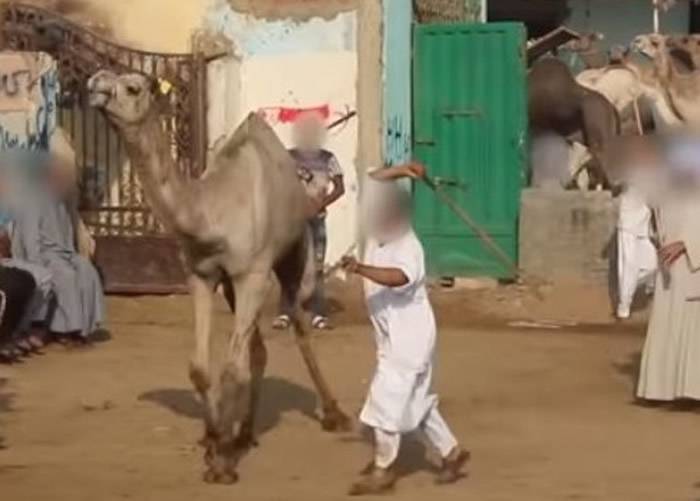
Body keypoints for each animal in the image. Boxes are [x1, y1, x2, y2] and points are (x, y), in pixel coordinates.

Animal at [87, 69, 350, 480]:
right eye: (100, 77)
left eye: (132, 86)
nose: (95, 85)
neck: (211, 211)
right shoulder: (203, 275)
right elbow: (200, 366)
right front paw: (214, 440)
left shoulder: (253, 273)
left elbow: (231, 369)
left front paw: (223, 462)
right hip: (233, 284)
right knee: (258, 350)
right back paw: (245, 433)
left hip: (293, 256)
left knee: (300, 325)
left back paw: (334, 414)